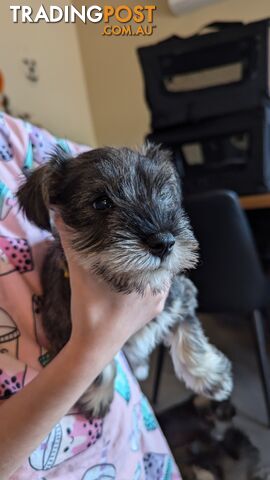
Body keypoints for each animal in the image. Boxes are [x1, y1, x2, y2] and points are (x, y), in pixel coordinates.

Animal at [16, 142, 232, 416]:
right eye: (101, 203)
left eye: (163, 194)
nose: (164, 242)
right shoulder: (66, 330)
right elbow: (101, 364)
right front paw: (97, 397)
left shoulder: (181, 297)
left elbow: (190, 336)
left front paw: (211, 377)